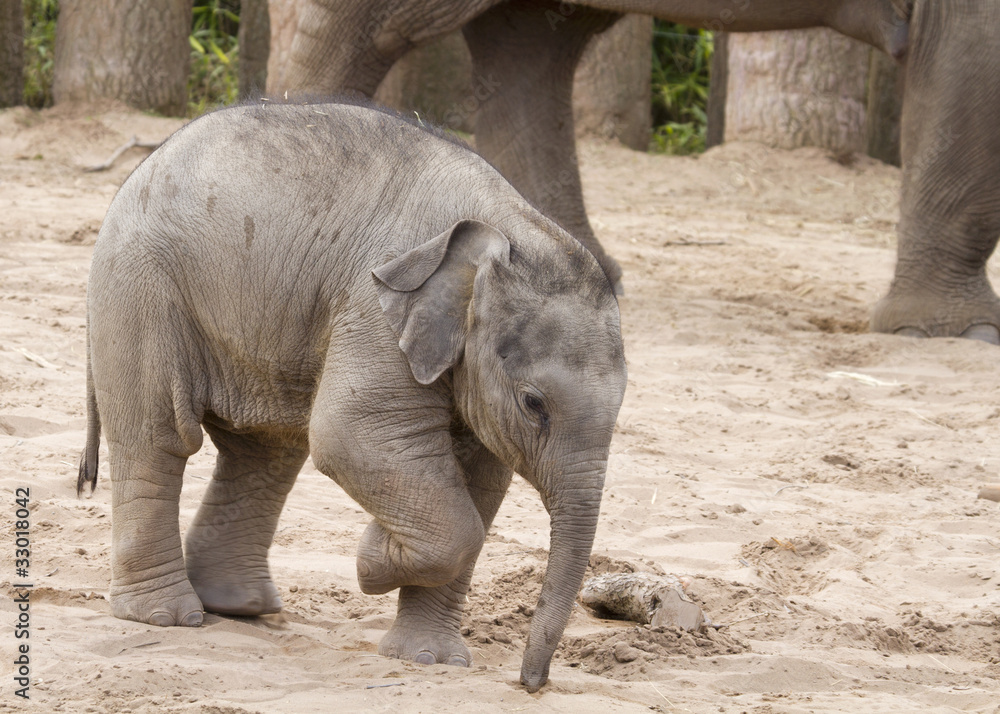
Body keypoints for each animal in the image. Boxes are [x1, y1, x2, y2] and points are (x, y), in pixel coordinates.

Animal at [78, 100, 628, 693]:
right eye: (533, 403)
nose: (531, 683)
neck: (506, 226)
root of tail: (136, 173)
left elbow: (482, 483)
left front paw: (429, 659)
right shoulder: (375, 307)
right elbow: (350, 435)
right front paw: (371, 560)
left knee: (266, 452)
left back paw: (240, 607)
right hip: (141, 289)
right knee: (161, 439)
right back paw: (167, 617)